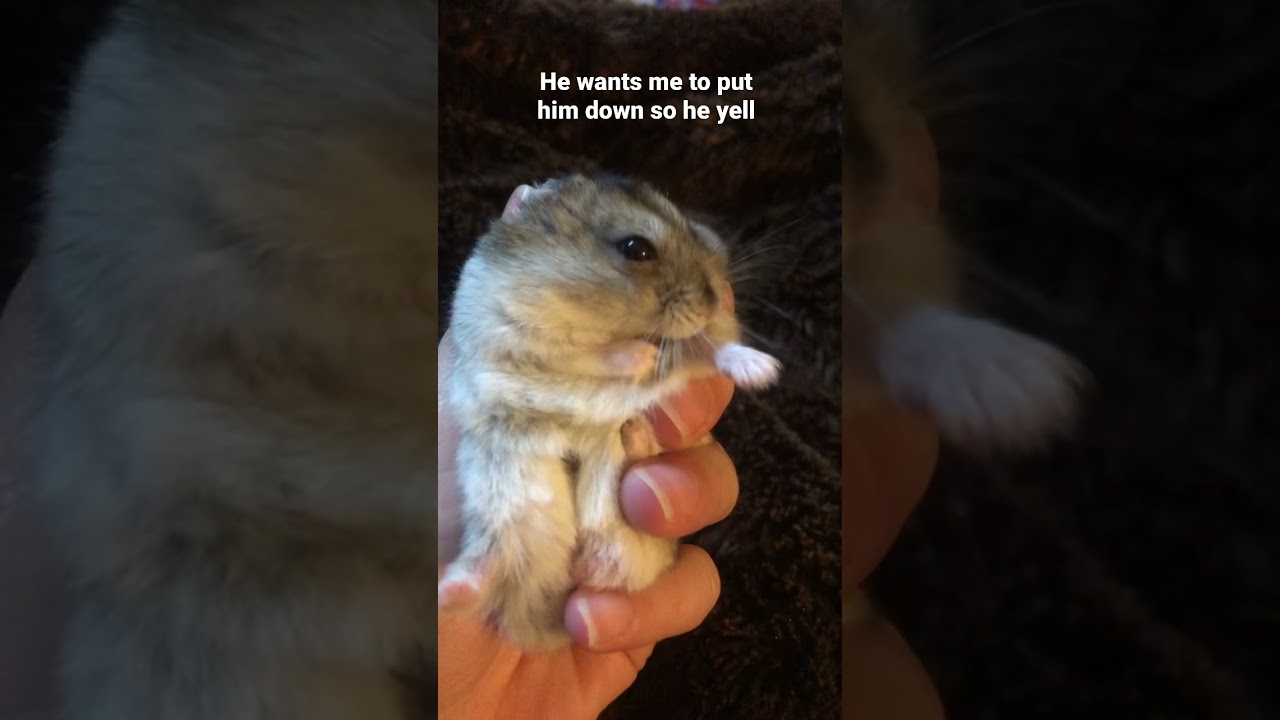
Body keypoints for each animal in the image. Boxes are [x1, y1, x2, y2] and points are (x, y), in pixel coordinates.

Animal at [439, 174, 782, 651]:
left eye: (692, 231)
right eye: (637, 248)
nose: (714, 301)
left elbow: (712, 349)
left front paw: (763, 370)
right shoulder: (514, 329)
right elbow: (586, 354)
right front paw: (641, 358)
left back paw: (633, 434)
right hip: (506, 497)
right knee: (488, 566)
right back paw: (448, 591)